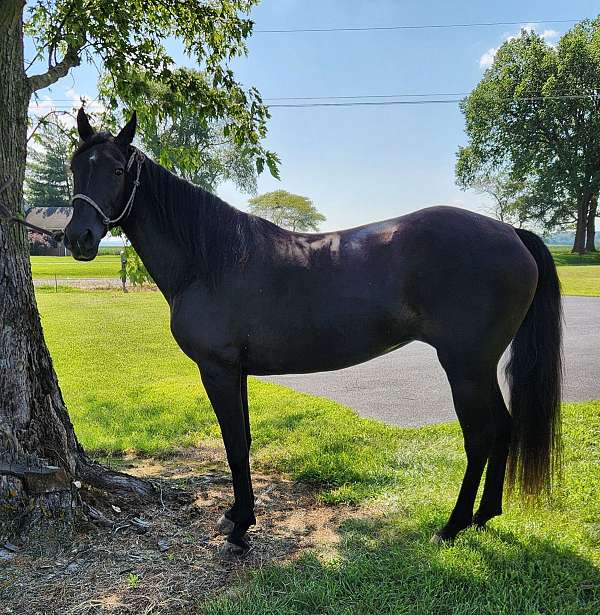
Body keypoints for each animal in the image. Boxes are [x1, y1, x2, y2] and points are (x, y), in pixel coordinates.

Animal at [65, 112, 564, 560]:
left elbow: (233, 444)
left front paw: (240, 529)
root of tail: (510, 232)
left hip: (465, 366)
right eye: (75, 167)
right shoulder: (237, 372)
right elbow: (244, 440)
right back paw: (485, 515)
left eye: (116, 170)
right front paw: (237, 515)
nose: (78, 238)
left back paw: (454, 525)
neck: (211, 260)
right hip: (478, 366)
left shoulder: (218, 369)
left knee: (481, 434)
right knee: (503, 427)